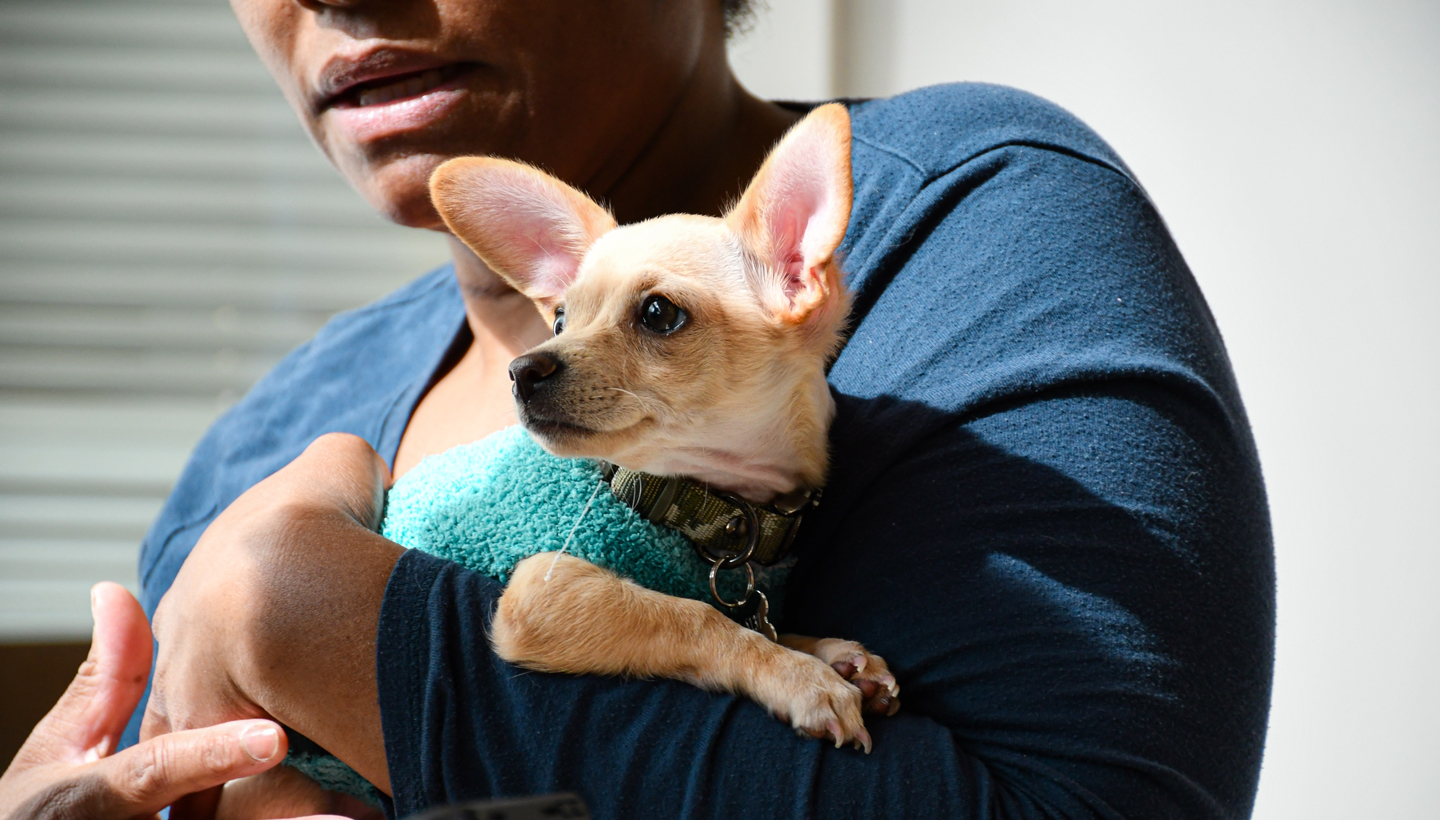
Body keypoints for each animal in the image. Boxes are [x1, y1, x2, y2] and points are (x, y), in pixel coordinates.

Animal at [429, 105, 898, 749]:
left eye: (658, 313)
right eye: (559, 320)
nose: (521, 370)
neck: (709, 506)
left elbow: (759, 621)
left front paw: (828, 651)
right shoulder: (546, 589)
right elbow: (697, 615)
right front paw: (801, 676)